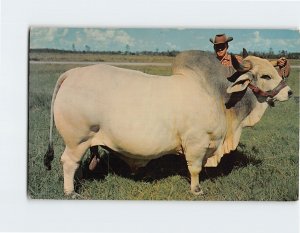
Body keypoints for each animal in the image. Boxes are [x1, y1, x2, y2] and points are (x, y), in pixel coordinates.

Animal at [43, 50, 292, 196]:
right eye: (266, 76)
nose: (289, 92)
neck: (218, 95)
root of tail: (73, 73)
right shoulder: (196, 143)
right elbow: (194, 168)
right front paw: (196, 190)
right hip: (77, 139)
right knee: (68, 162)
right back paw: (70, 191)